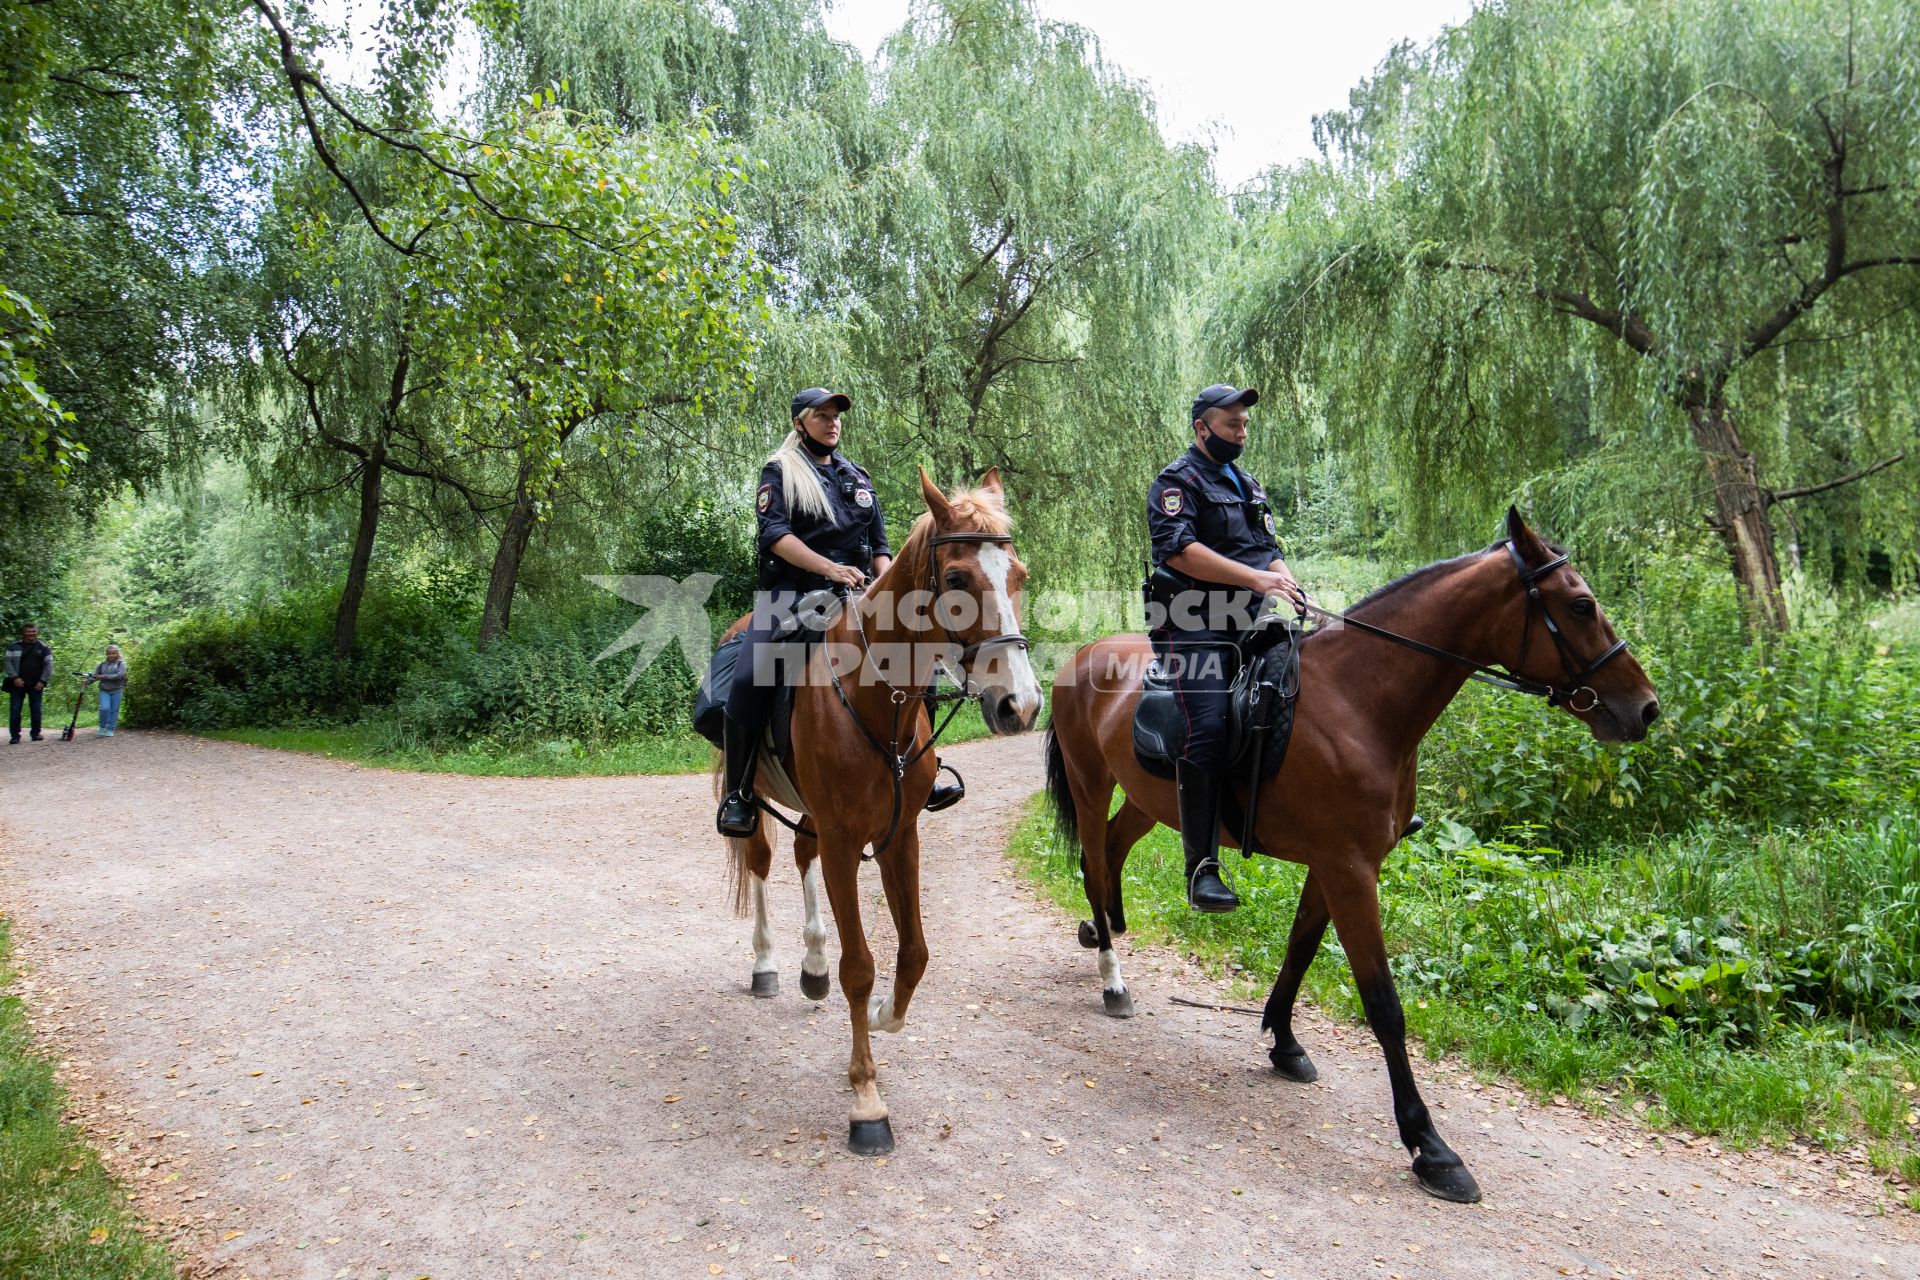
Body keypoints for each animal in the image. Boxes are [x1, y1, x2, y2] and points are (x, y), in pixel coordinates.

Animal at [714, 466, 1036, 1159]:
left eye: (1018, 575)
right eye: (958, 580)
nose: (1020, 707)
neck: (874, 694)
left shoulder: (899, 836)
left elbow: (913, 953)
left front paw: (889, 1014)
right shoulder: (844, 841)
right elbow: (860, 966)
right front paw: (866, 1100)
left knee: (801, 857)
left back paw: (810, 967)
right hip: (753, 801)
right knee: (762, 861)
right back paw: (767, 964)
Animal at [1044, 506, 1658, 1205]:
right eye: (1581, 606)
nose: (1645, 709)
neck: (1359, 702)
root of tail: (1081, 655)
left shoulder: (1336, 865)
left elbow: (1300, 949)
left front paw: (1283, 1043)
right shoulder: (1350, 870)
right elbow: (1384, 1005)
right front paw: (1430, 1147)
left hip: (1149, 800)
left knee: (1112, 852)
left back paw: (1103, 930)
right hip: (1091, 784)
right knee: (1094, 865)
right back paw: (1112, 976)